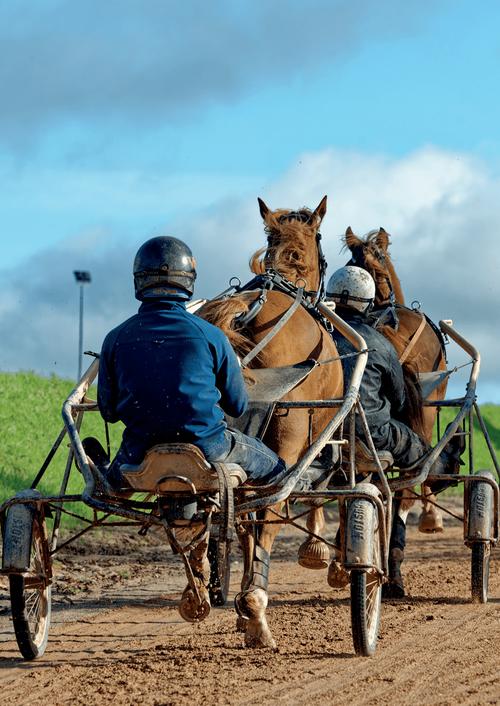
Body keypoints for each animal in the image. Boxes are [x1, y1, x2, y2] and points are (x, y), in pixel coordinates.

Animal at [197, 195, 342, 648]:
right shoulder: (315, 435)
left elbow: (242, 519)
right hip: (287, 440)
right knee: (270, 513)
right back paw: (256, 609)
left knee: (244, 514)